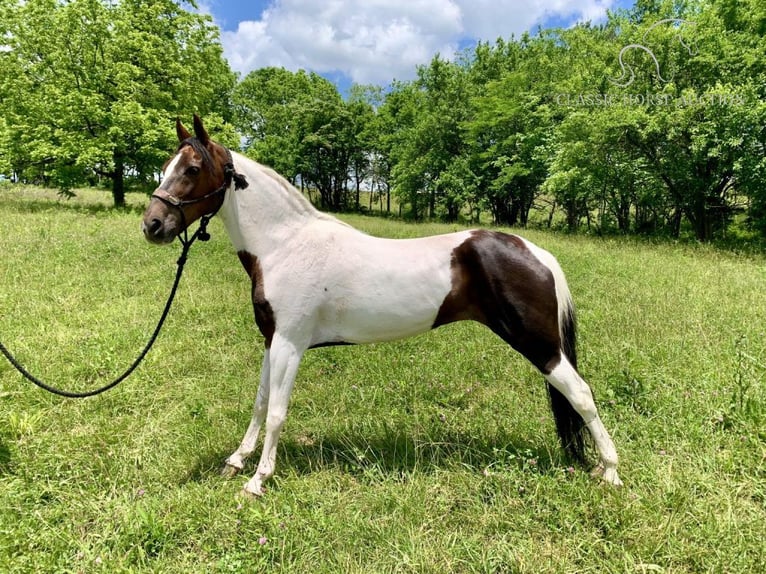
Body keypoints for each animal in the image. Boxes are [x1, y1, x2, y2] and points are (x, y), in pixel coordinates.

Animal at [142, 116, 624, 496]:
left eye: (192, 168)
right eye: (165, 167)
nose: (152, 225)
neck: (286, 245)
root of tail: (536, 252)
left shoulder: (290, 345)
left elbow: (277, 411)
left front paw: (258, 480)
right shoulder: (271, 341)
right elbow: (260, 404)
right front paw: (237, 461)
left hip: (541, 346)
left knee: (582, 394)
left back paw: (610, 472)